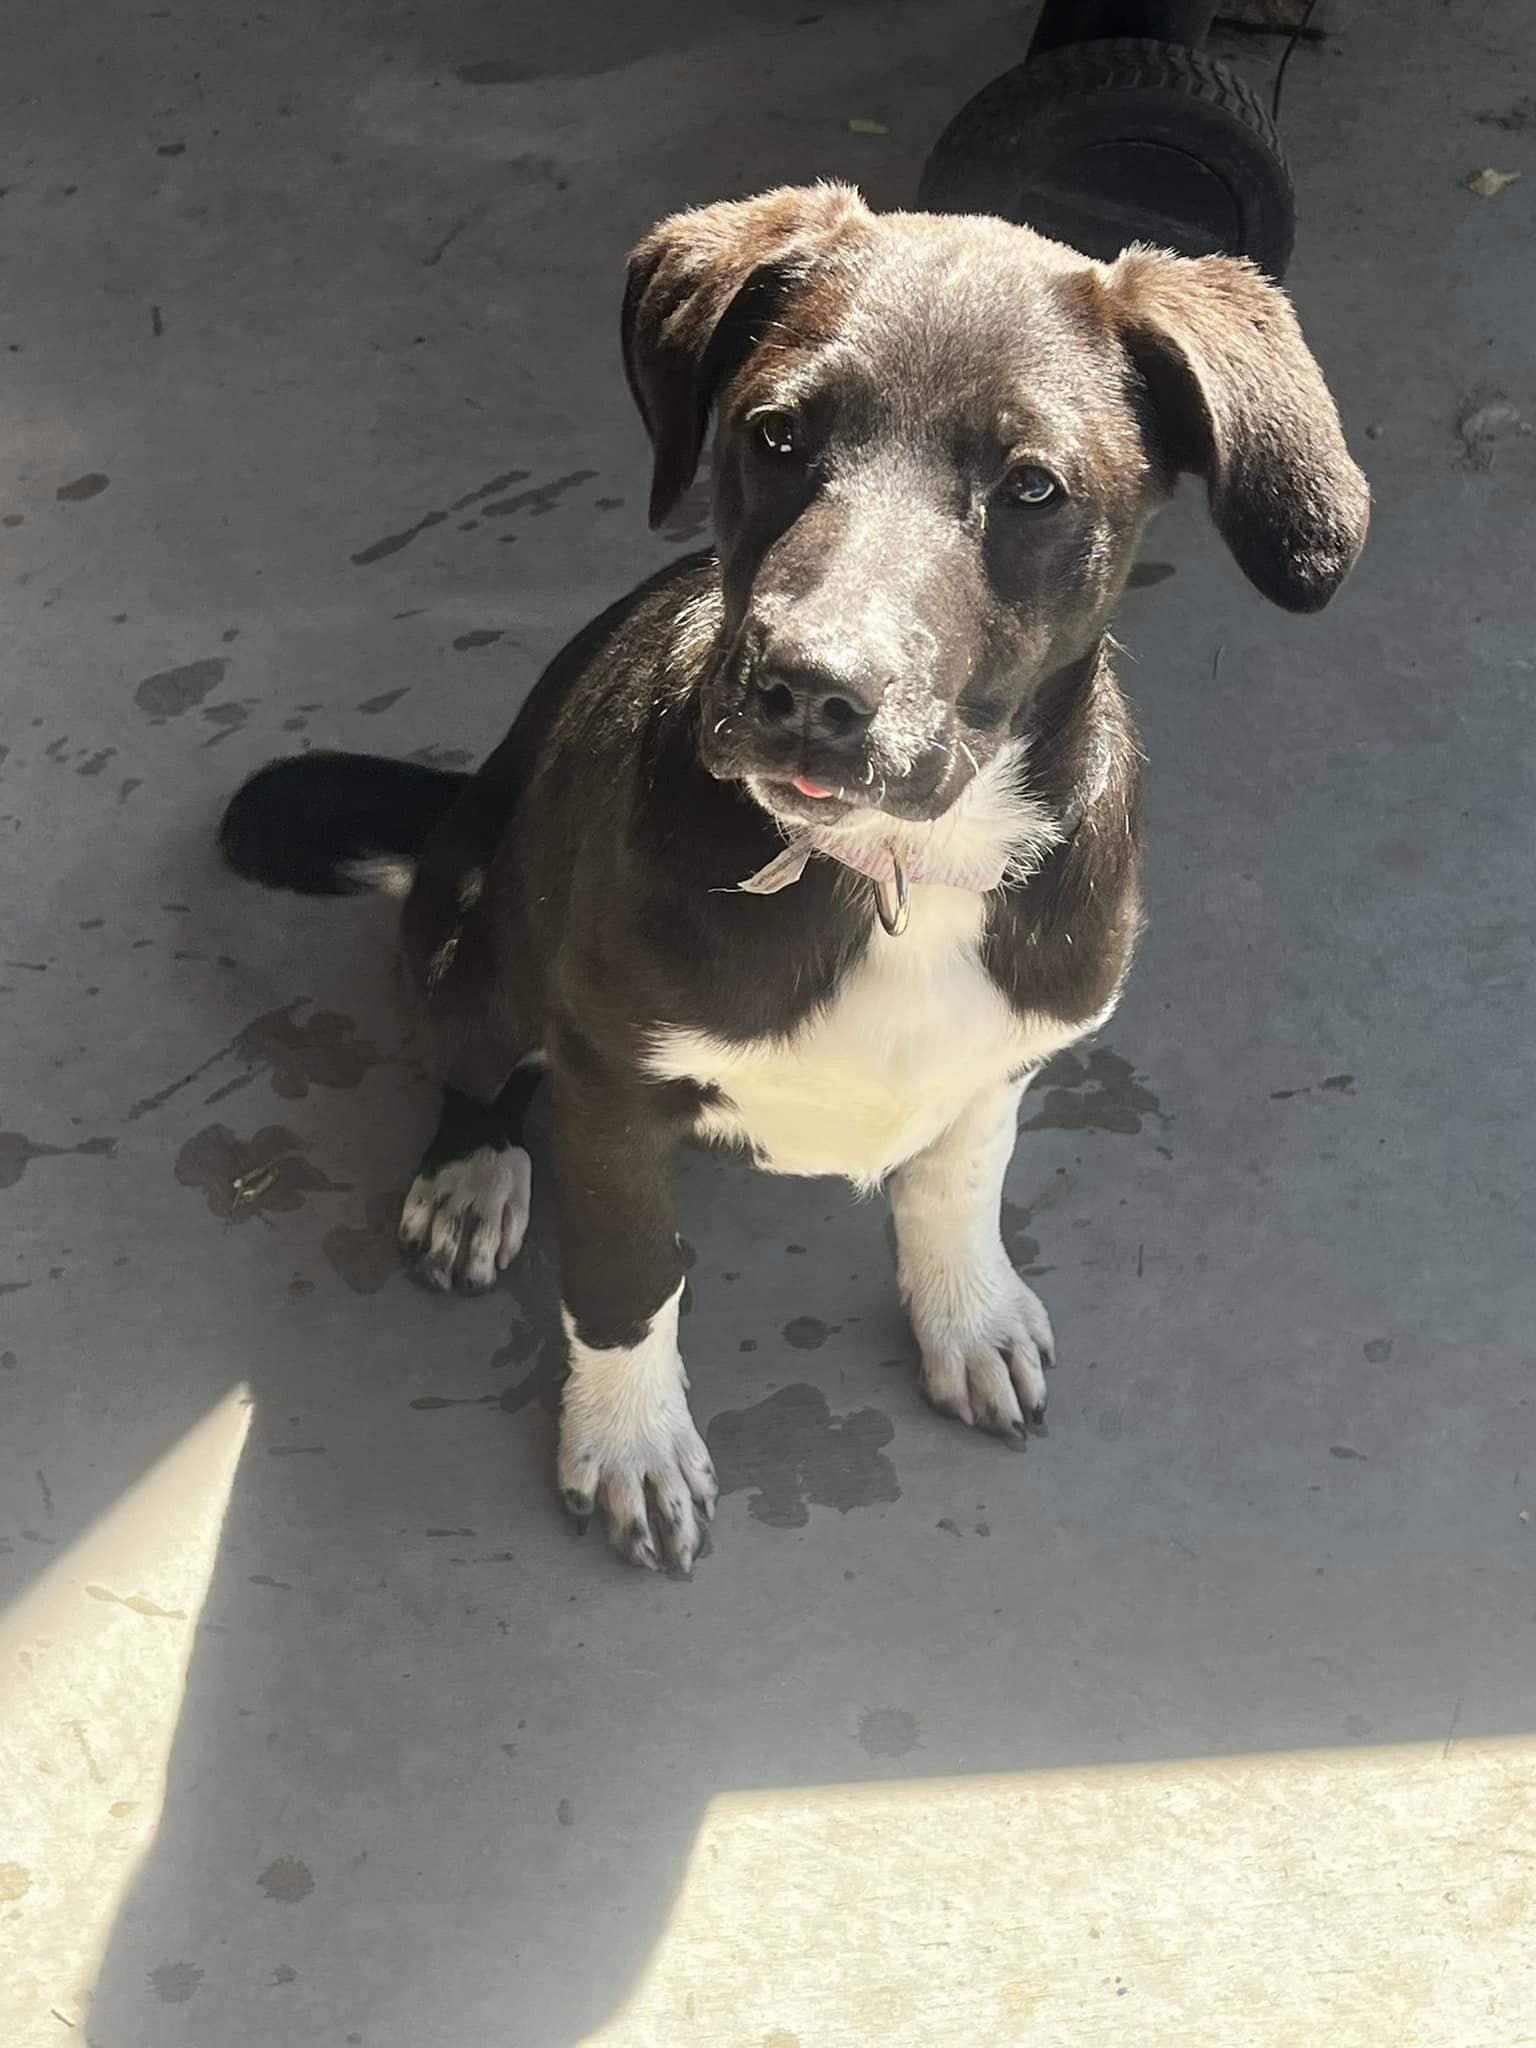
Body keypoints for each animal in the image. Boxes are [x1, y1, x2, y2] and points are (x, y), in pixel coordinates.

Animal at [219, 188, 1368, 1564]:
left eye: (1032, 486)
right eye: (774, 434)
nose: (809, 692)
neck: (897, 871)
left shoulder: (1011, 1050)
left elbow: (958, 1182)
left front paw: (966, 1310)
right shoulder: (611, 1086)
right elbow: (626, 1275)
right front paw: (630, 1440)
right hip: (472, 948)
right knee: (477, 1065)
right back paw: (471, 1172)